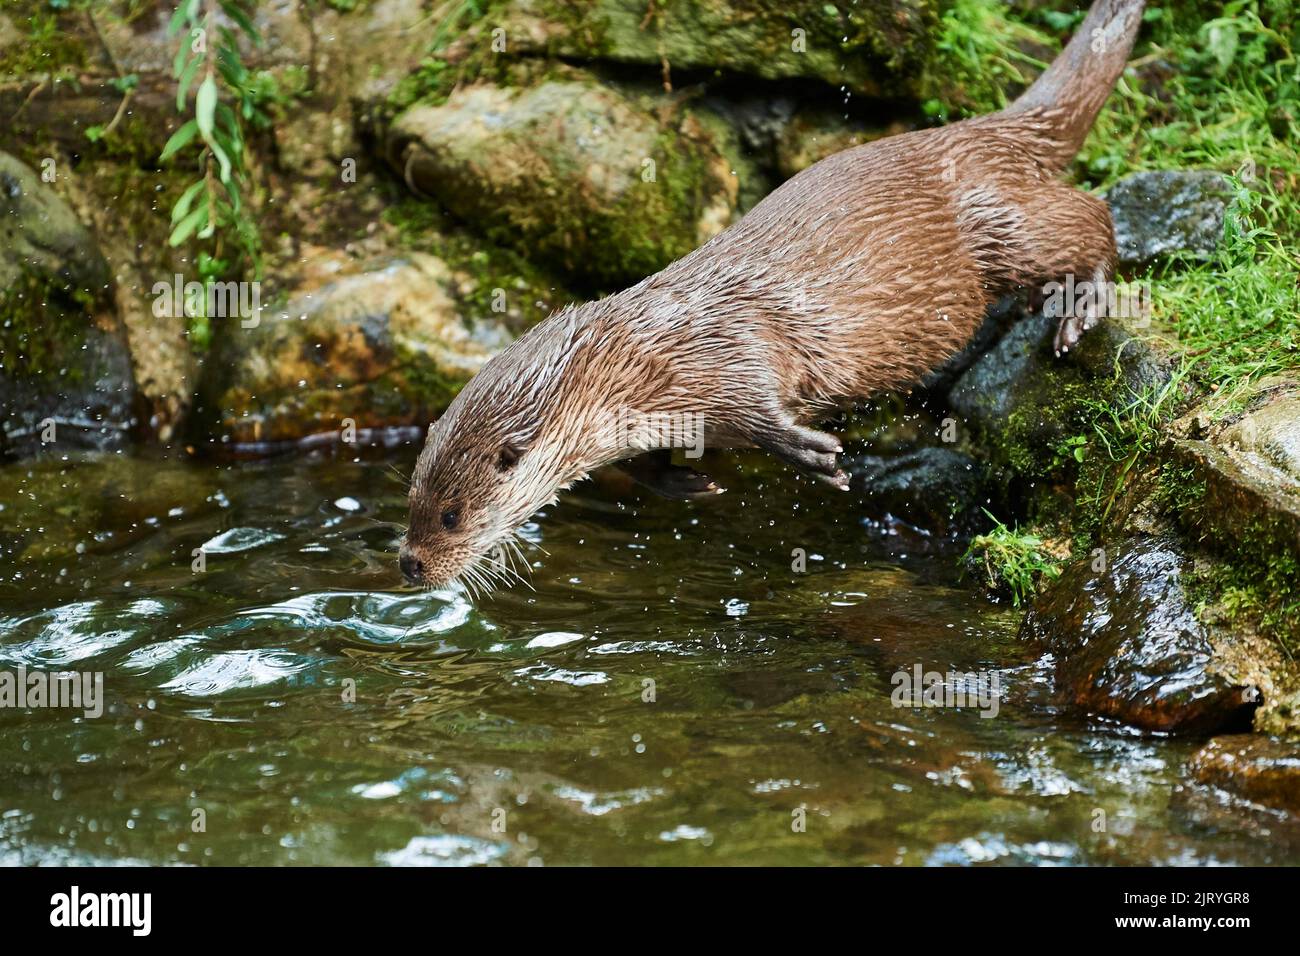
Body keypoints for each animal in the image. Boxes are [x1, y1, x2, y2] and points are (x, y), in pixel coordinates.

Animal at [397, 0, 1149, 595]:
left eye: (450, 516)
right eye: (411, 498)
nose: (409, 563)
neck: (644, 361)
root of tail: (986, 128)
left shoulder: (727, 350)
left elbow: (763, 405)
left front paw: (814, 455)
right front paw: (685, 482)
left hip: (996, 219)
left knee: (1090, 215)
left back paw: (1081, 308)